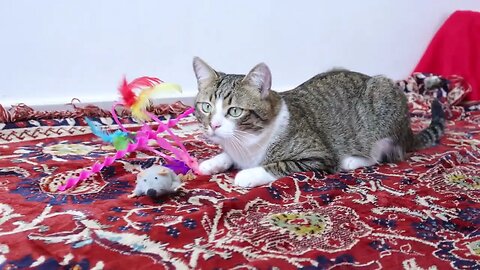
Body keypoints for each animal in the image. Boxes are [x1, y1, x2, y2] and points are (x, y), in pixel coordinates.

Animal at [192, 57, 446, 188]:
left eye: (234, 111)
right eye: (206, 107)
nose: (214, 126)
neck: (247, 143)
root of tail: (409, 132)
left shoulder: (317, 155)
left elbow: (278, 165)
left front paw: (247, 175)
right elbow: (228, 155)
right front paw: (213, 162)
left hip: (382, 104)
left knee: (387, 154)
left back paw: (353, 160)